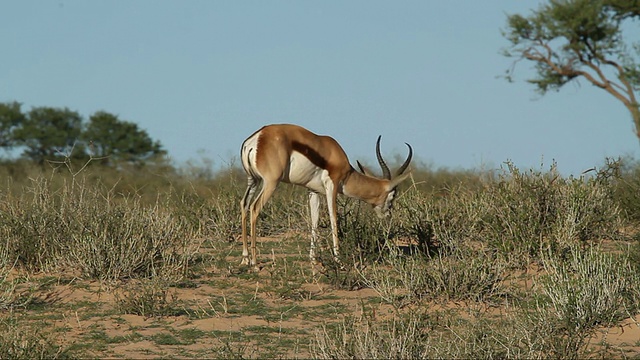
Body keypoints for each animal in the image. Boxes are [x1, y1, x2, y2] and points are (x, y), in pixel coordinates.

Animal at [239, 124, 410, 270]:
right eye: (393, 195)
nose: (387, 215)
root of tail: (256, 139)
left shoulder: (313, 192)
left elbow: (314, 221)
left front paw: (313, 259)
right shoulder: (332, 186)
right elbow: (333, 219)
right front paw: (338, 260)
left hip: (253, 180)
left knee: (244, 204)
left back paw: (245, 258)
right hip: (271, 182)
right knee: (254, 207)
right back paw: (255, 263)